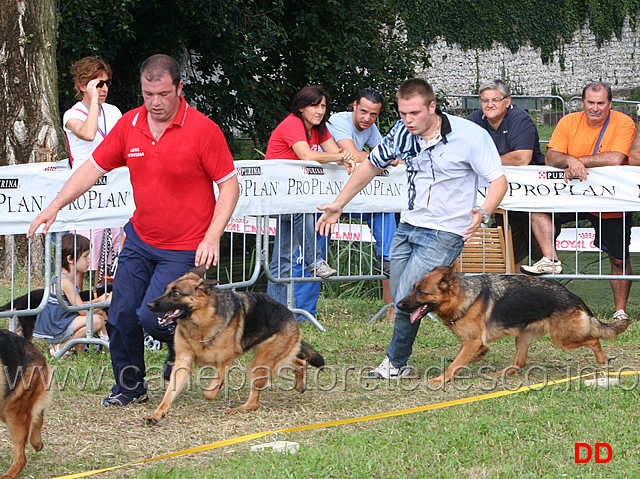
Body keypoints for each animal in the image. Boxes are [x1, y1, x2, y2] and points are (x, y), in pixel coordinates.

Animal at [145, 264, 324, 426]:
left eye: (175, 293)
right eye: (165, 290)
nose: (149, 305)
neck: (201, 323)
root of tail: (290, 314)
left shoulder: (224, 361)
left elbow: (209, 392)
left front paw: (214, 390)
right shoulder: (183, 362)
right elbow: (169, 394)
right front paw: (157, 414)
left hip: (260, 364)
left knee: (254, 403)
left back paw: (238, 409)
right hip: (272, 358)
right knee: (300, 362)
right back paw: (300, 385)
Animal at [396, 264, 632, 384]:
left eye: (420, 291)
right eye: (414, 288)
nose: (398, 305)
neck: (462, 297)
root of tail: (574, 297)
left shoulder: (472, 342)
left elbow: (455, 363)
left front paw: (440, 379)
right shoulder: (474, 344)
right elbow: (464, 359)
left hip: (563, 338)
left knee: (594, 339)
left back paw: (602, 359)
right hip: (523, 336)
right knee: (518, 364)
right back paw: (499, 374)